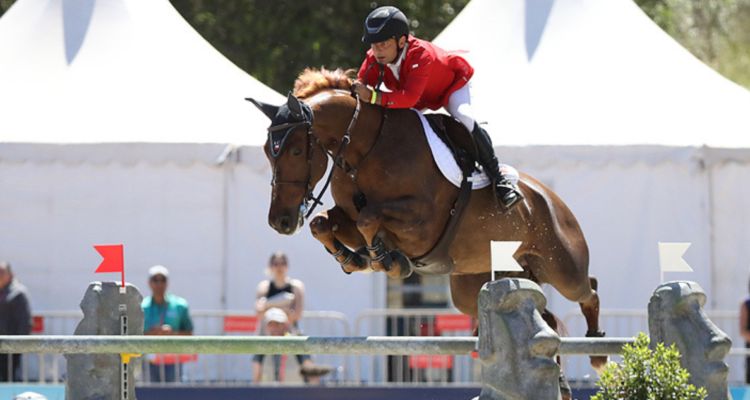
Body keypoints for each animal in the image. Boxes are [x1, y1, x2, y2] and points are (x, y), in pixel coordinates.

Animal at [247, 68, 606, 373]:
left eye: (296, 151)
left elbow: (369, 219)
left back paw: (599, 351)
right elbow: (323, 223)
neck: (366, 150)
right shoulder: (347, 215)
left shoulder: (422, 224)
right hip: (477, 286)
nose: (280, 222)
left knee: (588, 288)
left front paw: (385, 260)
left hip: (561, 266)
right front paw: (355, 258)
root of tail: (550, 198)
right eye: (267, 151)